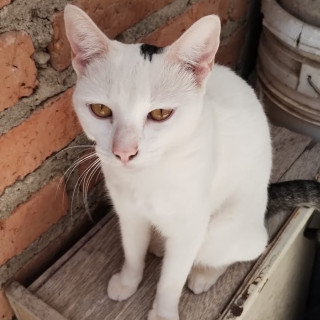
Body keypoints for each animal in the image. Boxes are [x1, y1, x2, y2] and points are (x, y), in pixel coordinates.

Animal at [65, 5, 272, 320]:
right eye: (100, 109)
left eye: (160, 114)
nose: (124, 152)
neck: (148, 177)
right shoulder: (129, 214)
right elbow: (132, 252)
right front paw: (128, 282)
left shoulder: (190, 228)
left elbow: (171, 280)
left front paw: (163, 312)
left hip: (222, 230)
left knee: (239, 251)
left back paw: (203, 274)